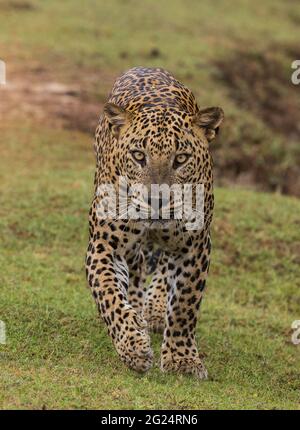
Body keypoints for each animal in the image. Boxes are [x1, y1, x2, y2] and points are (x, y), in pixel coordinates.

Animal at [85, 65, 224, 378]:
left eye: (181, 158)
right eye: (139, 155)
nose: (156, 201)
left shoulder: (195, 246)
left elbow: (185, 304)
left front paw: (182, 360)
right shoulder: (104, 245)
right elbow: (110, 294)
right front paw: (133, 346)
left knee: (163, 268)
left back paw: (156, 310)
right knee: (136, 271)